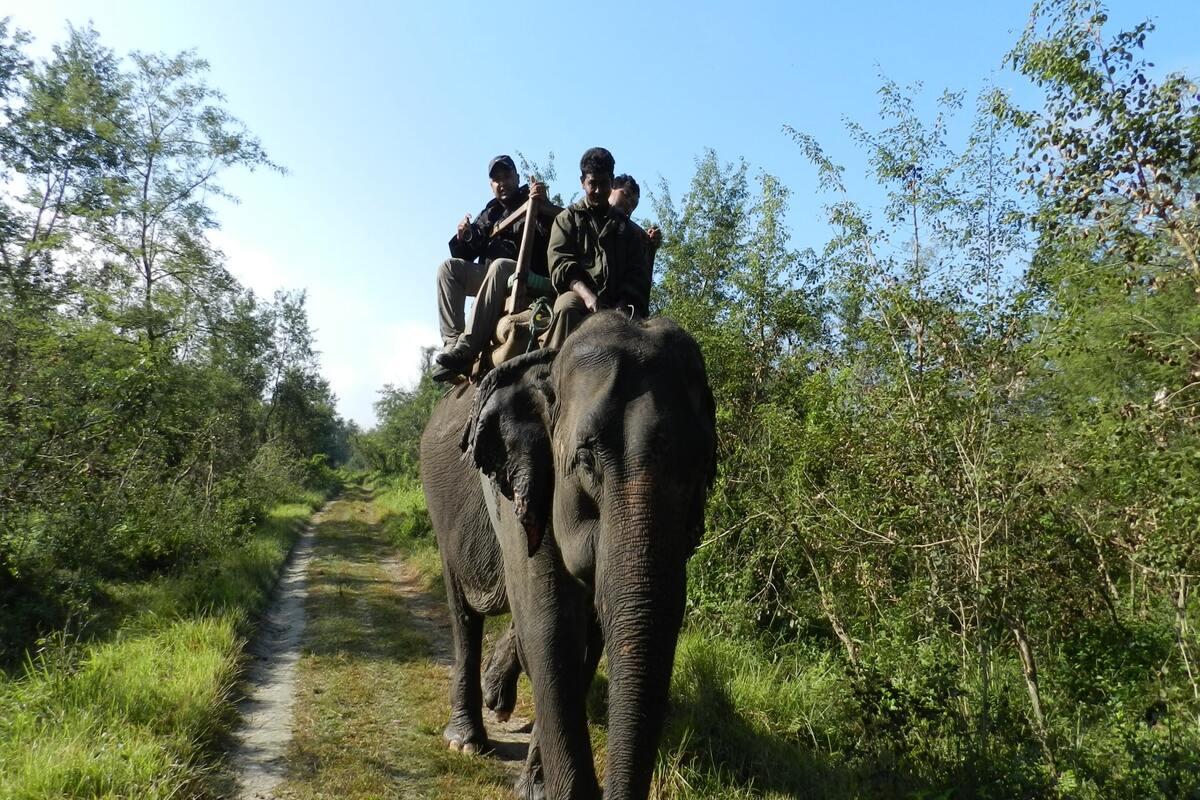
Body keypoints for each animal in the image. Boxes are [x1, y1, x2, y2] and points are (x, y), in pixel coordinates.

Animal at [420, 311, 710, 800]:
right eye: (587, 459)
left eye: (701, 471)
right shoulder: (517, 486)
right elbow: (551, 622)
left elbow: (587, 634)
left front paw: (536, 784)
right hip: (440, 507)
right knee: (463, 611)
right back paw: (467, 740)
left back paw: (497, 698)